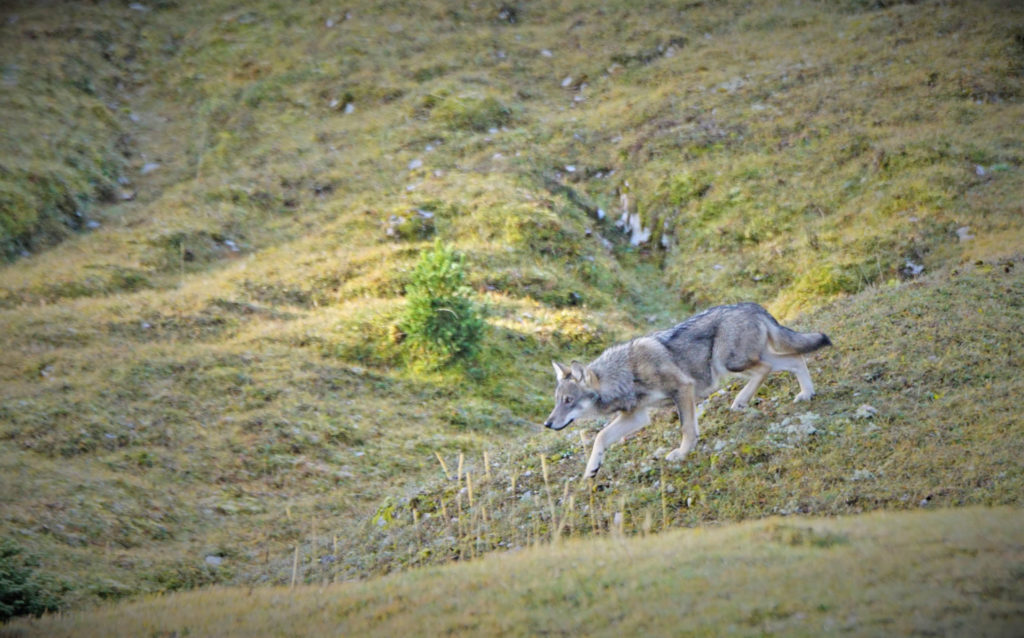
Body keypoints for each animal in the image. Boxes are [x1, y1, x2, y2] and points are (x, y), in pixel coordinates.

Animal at [543, 303, 831, 479]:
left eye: (568, 400)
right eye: (557, 401)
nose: (547, 424)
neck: (625, 373)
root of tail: (754, 306)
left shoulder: (682, 389)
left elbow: (686, 428)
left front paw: (682, 454)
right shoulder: (637, 416)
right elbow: (600, 437)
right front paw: (591, 470)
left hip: (730, 363)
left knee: (774, 366)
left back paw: (750, 399)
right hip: (741, 362)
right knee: (794, 359)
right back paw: (800, 395)